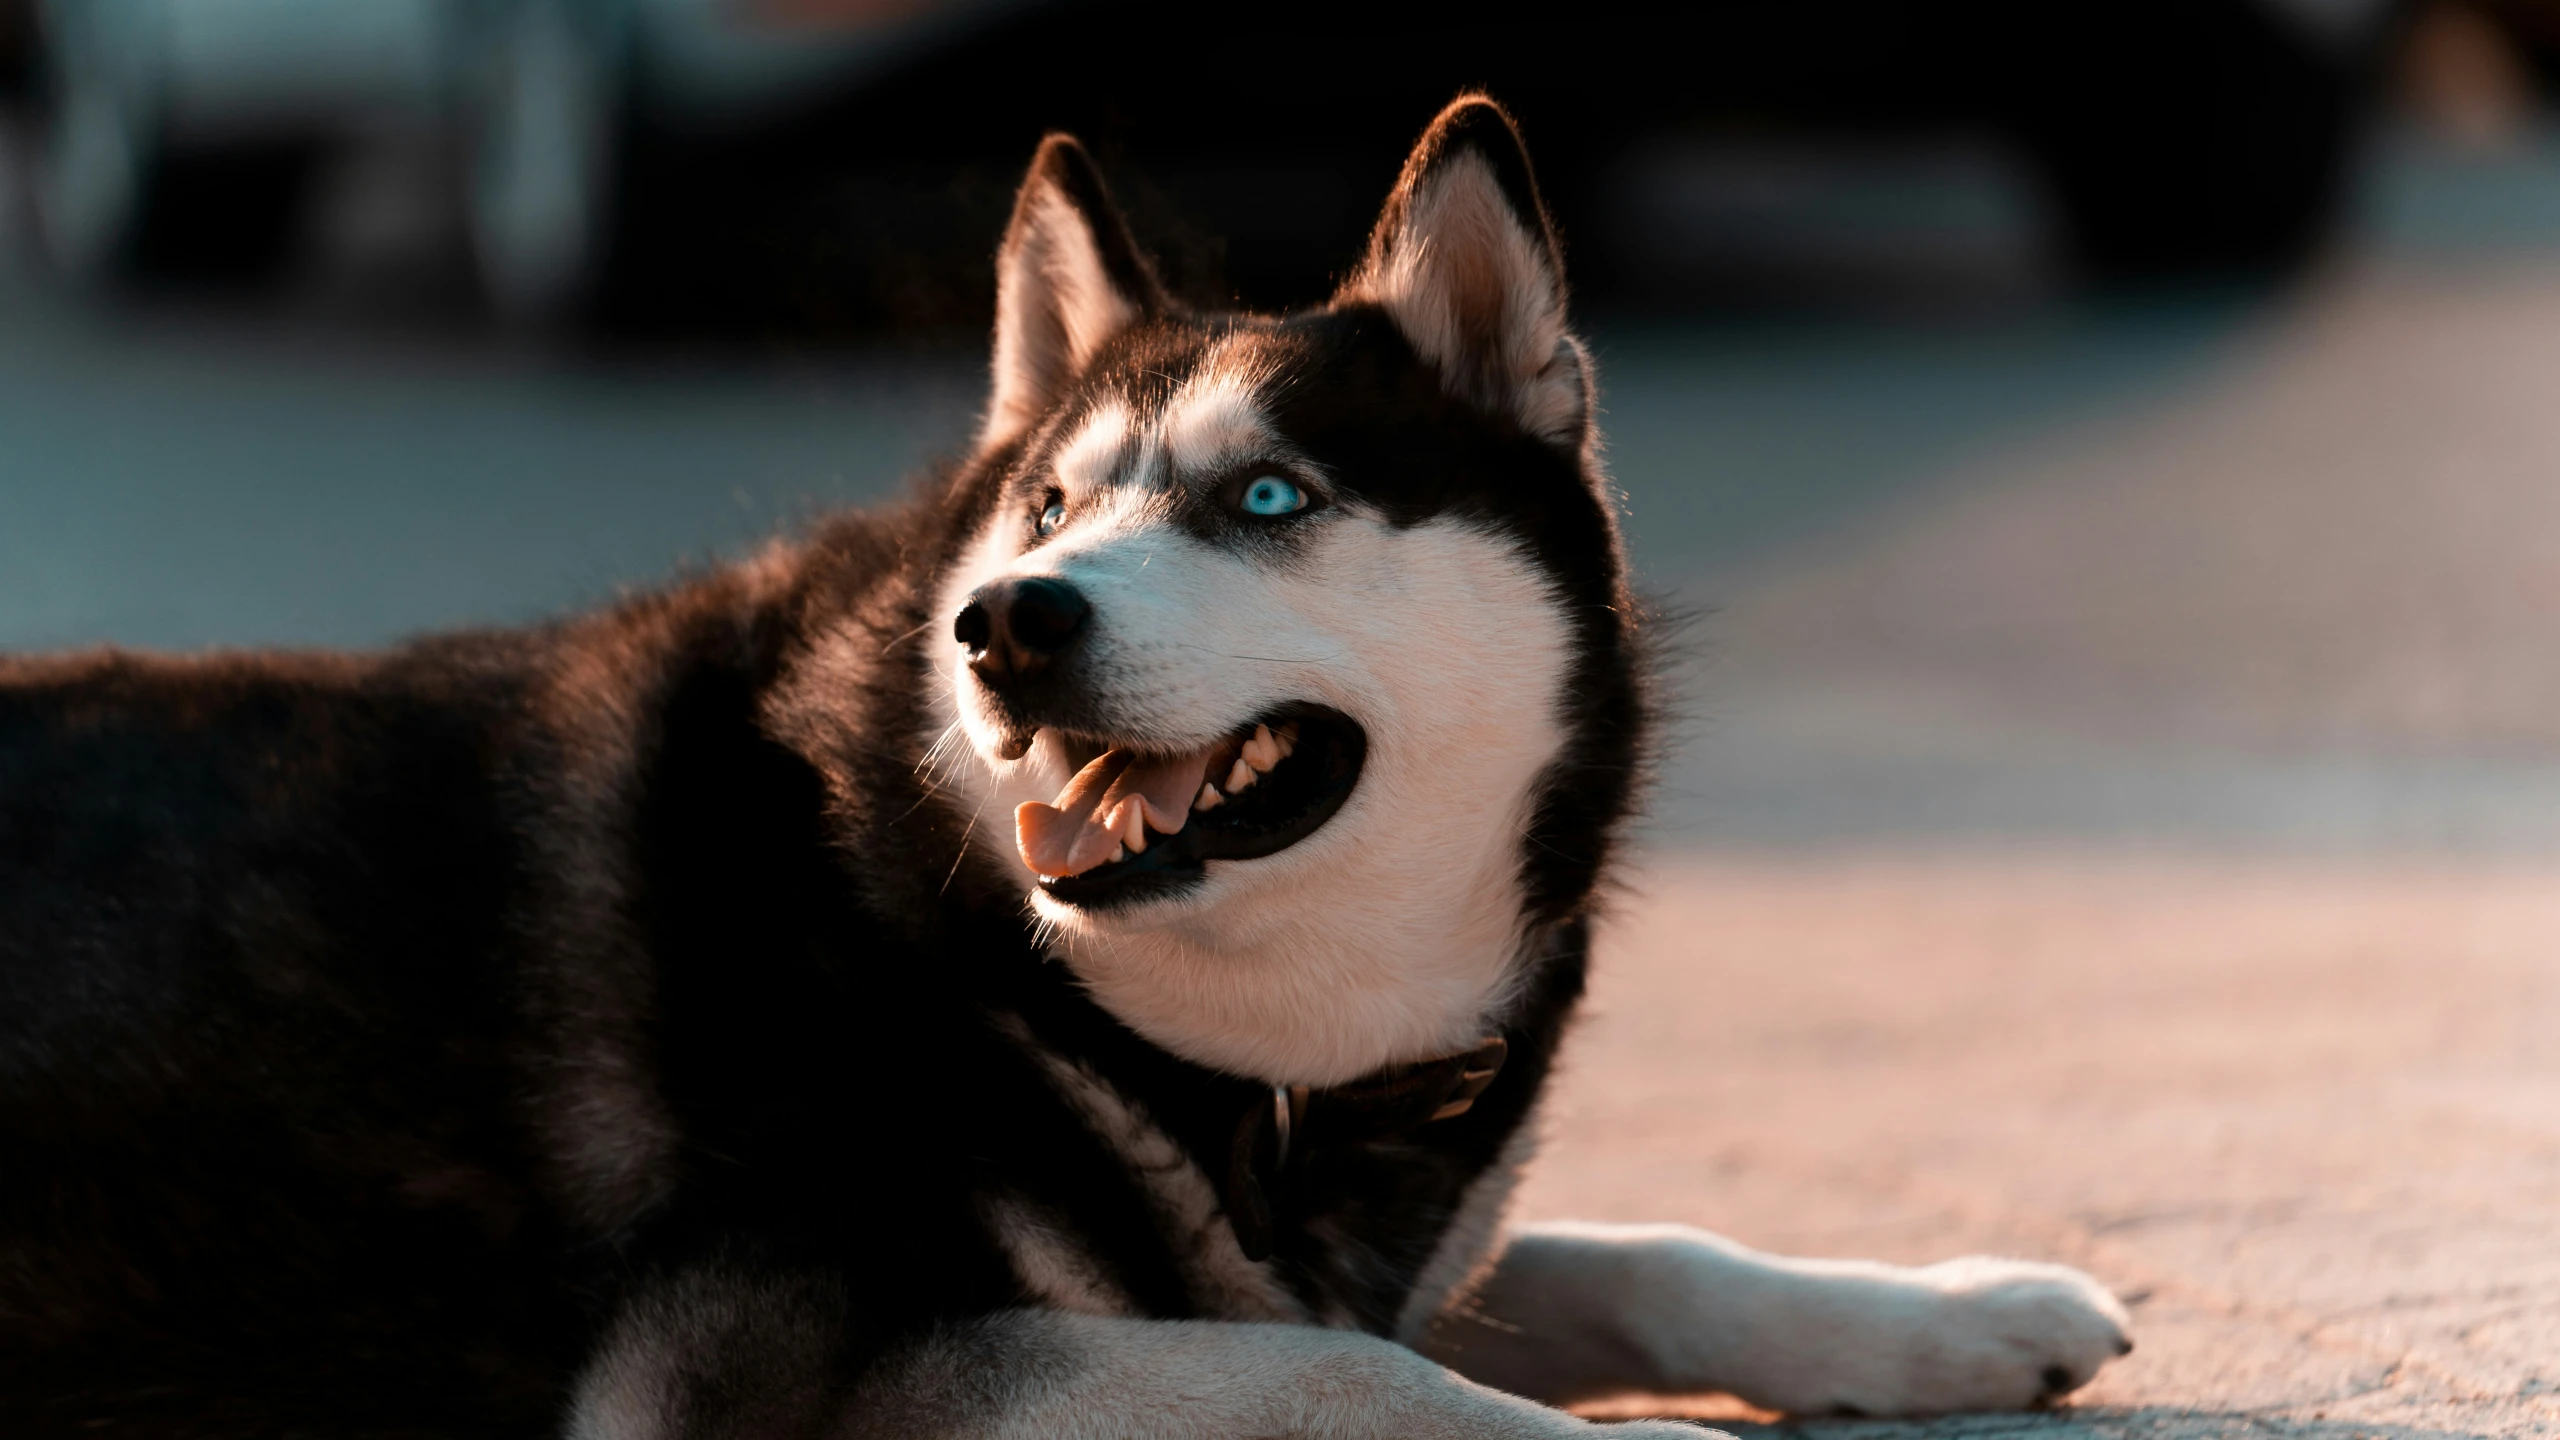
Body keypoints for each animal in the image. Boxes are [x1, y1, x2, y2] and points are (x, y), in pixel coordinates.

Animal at [0, 95, 2129, 1424]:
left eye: (1267, 496)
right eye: (1041, 507)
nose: (1008, 622)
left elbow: (1620, 1252)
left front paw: (1949, 1312)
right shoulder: (808, 1367)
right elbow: (1361, 1377)